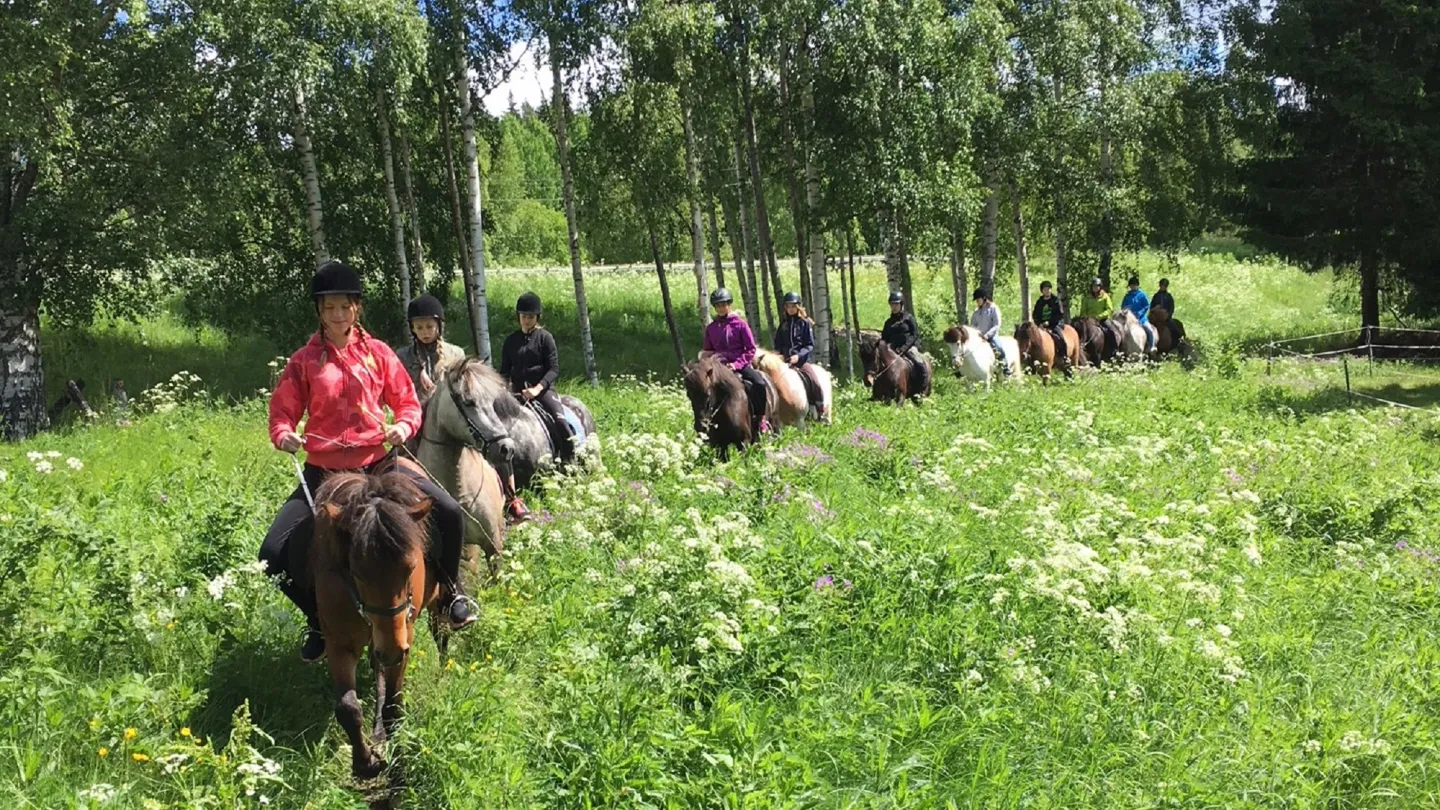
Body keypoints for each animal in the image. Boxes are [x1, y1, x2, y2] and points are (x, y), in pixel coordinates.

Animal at [312, 469, 446, 778]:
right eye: (357, 572)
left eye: (411, 568)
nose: (393, 650)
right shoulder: (339, 643)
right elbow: (348, 707)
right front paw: (364, 762)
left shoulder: (404, 636)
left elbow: (394, 705)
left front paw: (399, 758)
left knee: (441, 633)